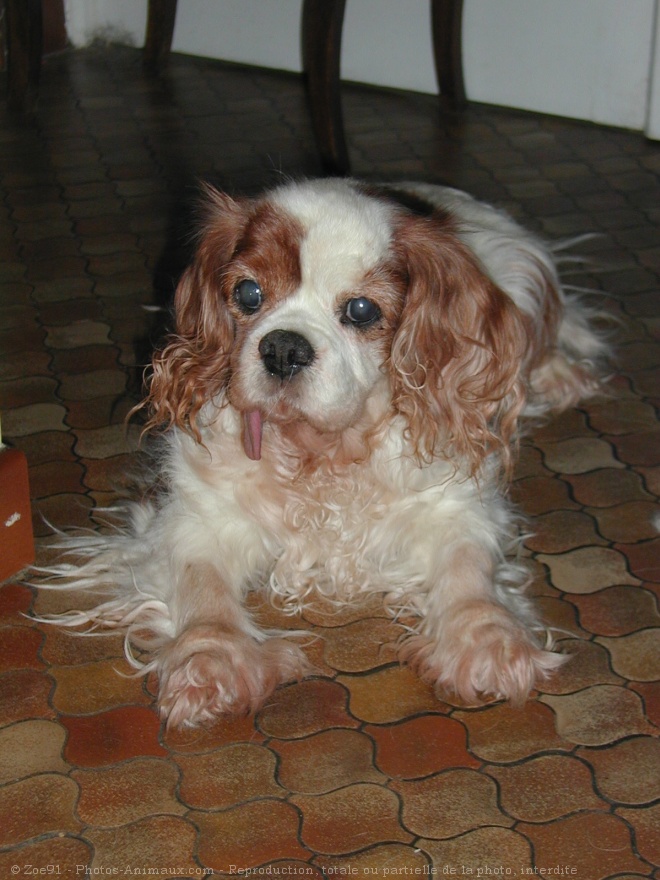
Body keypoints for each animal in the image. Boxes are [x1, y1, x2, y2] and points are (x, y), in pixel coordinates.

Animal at [40, 179, 608, 728]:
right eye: (248, 293)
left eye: (361, 310)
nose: (283, 348)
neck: (321, 453)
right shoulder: (194, 516)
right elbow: (203, 587)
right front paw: (211, 660)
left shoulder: (458, 506)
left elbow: (470, 571)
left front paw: (489, 641)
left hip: (524, 272)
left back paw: (560, 376)